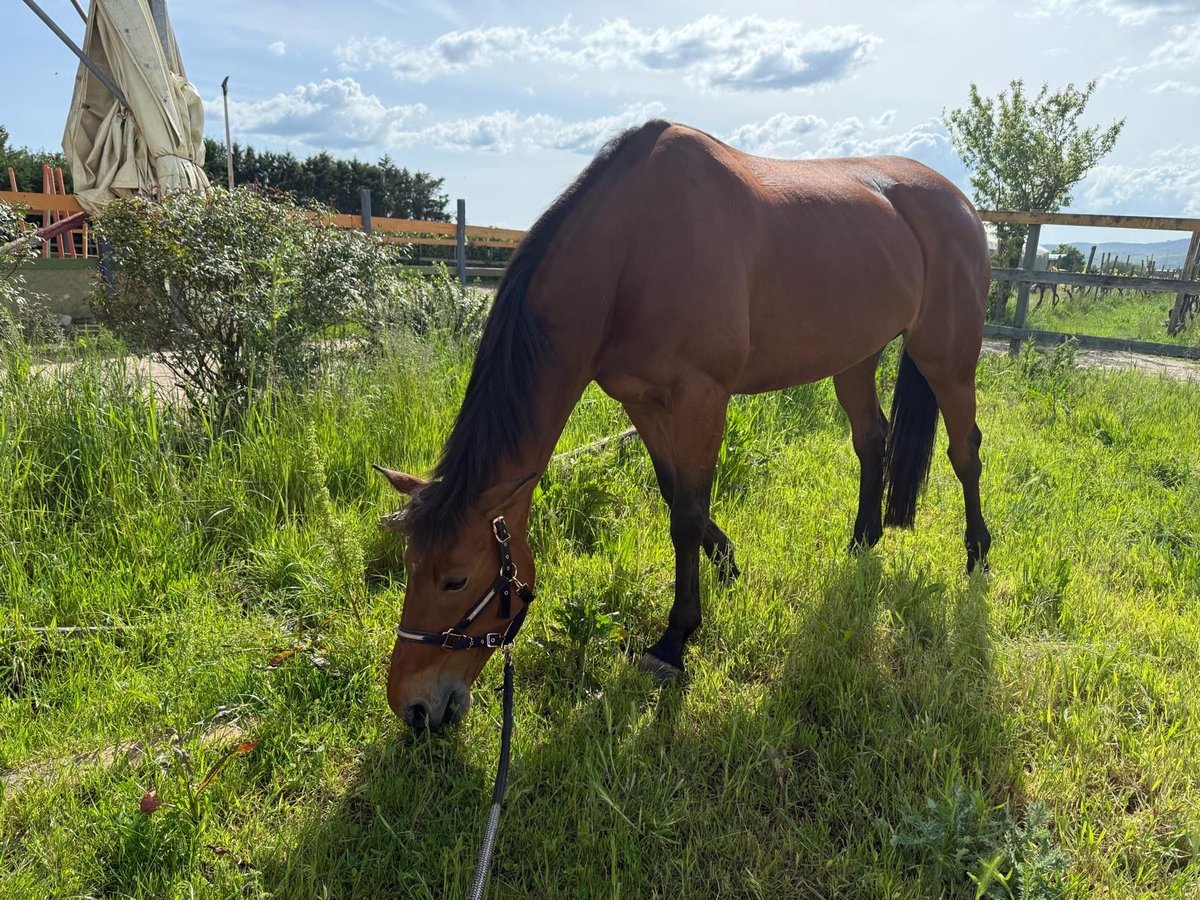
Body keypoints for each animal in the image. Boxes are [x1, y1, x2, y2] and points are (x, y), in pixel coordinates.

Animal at [375, 119, 992, 731]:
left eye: (456, 578)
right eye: (408, 566)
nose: (415, 707)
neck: (631, 250)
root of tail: (961, 203)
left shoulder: (702, 397)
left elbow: (688, 516)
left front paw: (675, 639)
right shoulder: (643, 401)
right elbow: (675, 494)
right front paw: (728, 565)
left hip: (947, 357)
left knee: (965, 450)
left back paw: (978, 555)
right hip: (856, 358)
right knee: (871, 439)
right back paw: (864, 540)